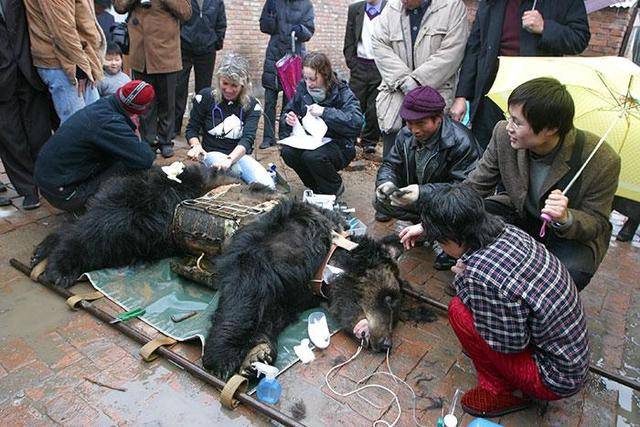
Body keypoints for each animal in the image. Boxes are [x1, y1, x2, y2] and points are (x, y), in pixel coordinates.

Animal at [202, 199, 402, 380]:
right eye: (389, 298)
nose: (387, 343)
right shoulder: (277, 246)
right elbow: (245, 291)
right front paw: (222, 355)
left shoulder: (294, 294)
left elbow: (273, 314)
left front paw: (258, 353)